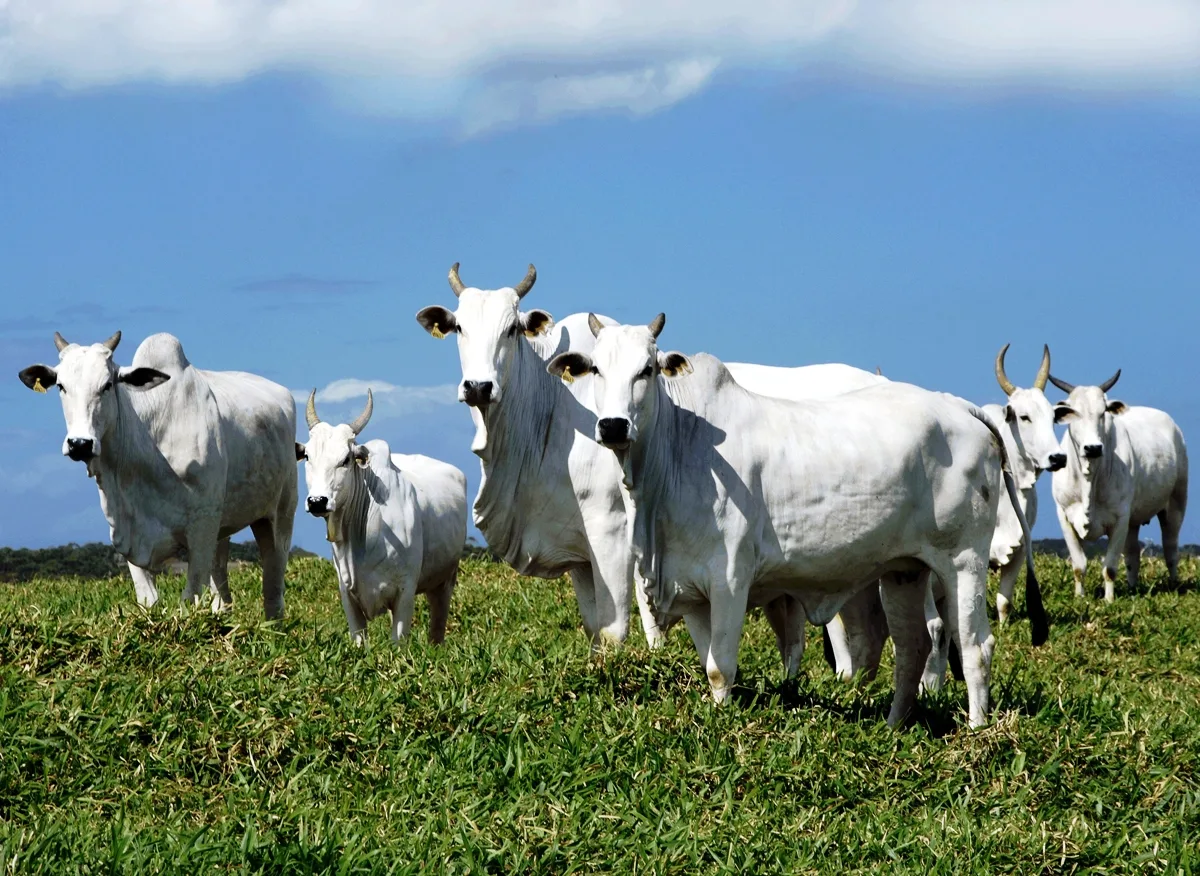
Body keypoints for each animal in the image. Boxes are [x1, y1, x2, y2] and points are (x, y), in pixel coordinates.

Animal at [18, 333, 297, 614]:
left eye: (107, 385)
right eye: (61, 386)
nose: (80, 444)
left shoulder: (202, 526)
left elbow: (190, 597)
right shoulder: (128, 531)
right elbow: (148, 599)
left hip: (279, 515)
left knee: (273, 589)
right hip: (222, 529)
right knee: (222, 592)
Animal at [297, 388, 465, 643]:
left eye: (345, 459)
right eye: (307, 456)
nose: (317, 501)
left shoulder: (405, 592)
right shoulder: (347, 595)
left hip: (445, 581)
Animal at [549, 314, 1041, 724]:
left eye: (647, 370)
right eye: (596, 369)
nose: (613, 426)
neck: (678, 452)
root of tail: (960, 408)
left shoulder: (730, 579)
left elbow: (720, 668)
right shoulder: (694, 593)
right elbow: (708, 662)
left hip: (962, 561)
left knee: (974, 645)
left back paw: (976, 731)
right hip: (904, 570)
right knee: (911, 646)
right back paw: (893, 727)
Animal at [1051, 367, 1180, 600]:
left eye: (1103, 412)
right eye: (1074, 413)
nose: (1093, 448)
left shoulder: (1120, 518)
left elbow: (1110, 567)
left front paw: (1109, 600)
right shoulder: (1064, 515)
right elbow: (1079, 565)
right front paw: (1079, 598)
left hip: (1176, 502)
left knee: (1171, 549)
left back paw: (1174, 586)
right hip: (1134, 519)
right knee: (1133, 555)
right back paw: (1132, 588)